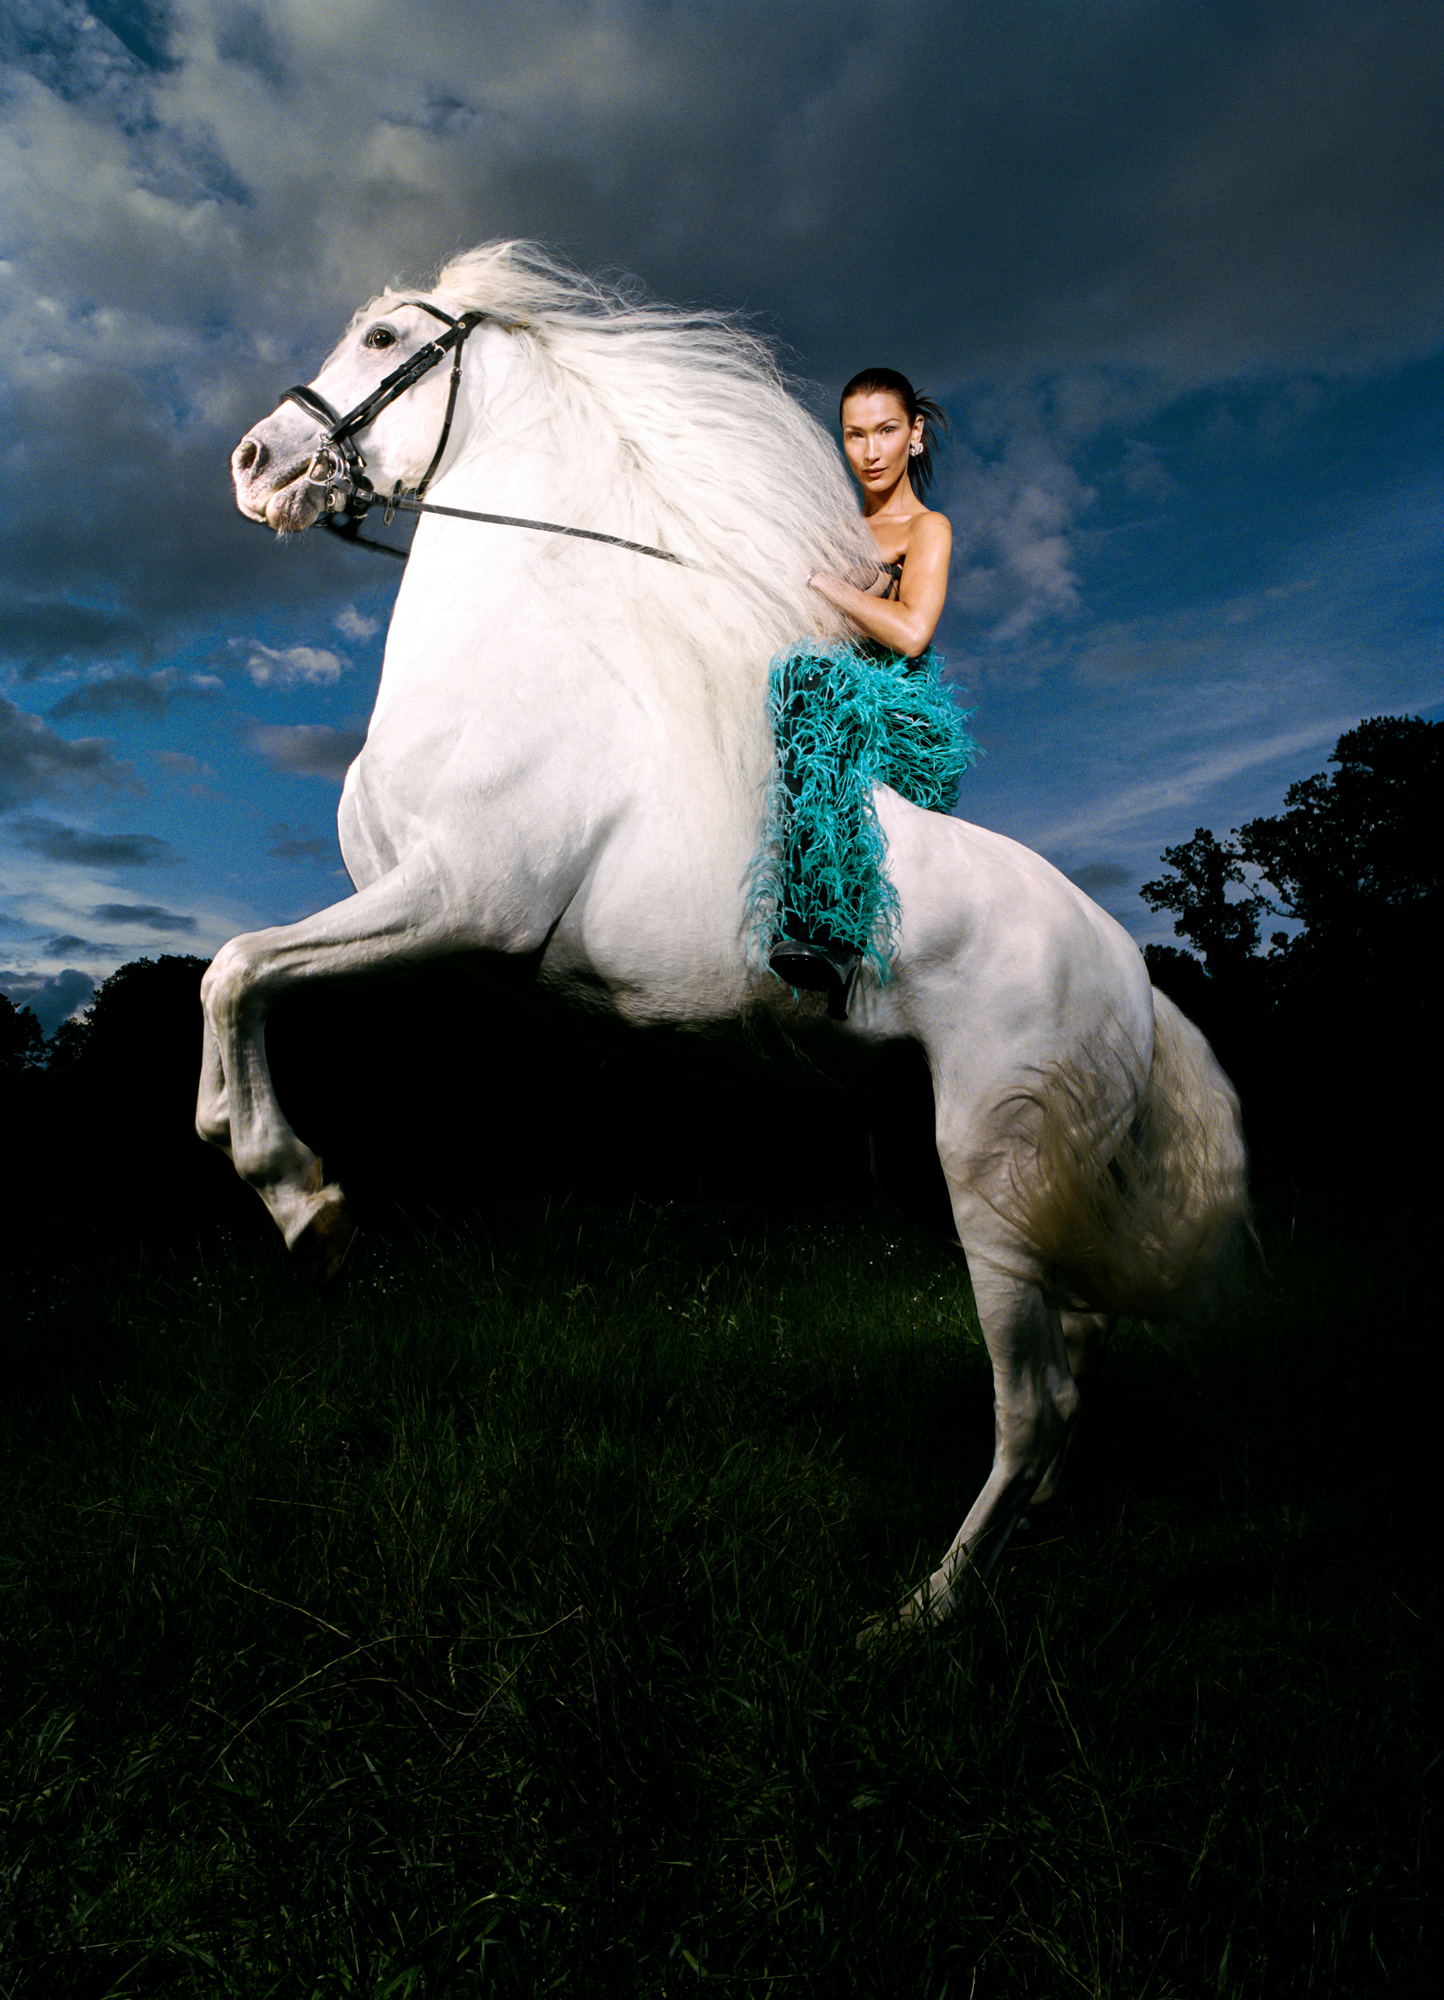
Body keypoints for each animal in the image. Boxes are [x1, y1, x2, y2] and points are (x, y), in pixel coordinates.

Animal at [208, 241, 1248, 1631]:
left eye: (380, 340)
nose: (255, 463)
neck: (527, 664)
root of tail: (1132, 977)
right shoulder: (418, 927)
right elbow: (235, 975)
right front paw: (242, 1141)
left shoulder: (458, 904)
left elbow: (238, 969)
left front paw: (302, 1201)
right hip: (1013, 1180)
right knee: (1077, 1356)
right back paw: (1026, 1536)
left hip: (986, 1166)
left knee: (1032, 1400)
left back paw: (921, 1608)